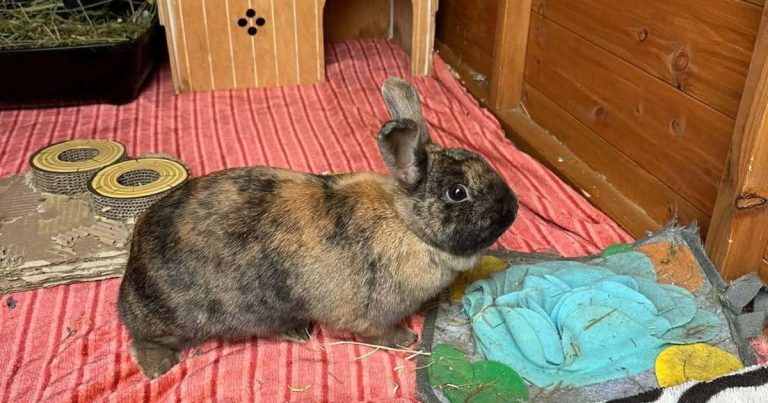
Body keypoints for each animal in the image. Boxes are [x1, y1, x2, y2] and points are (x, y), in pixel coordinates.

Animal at [116, 77, 519, 379]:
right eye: (458, 192)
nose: (513, 209)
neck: (408, 225)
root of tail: (131, 272)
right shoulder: (371, 312)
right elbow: (380, 332)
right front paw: (407, 338)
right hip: (174, 316)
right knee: (139, 335)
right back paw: (159, 366)